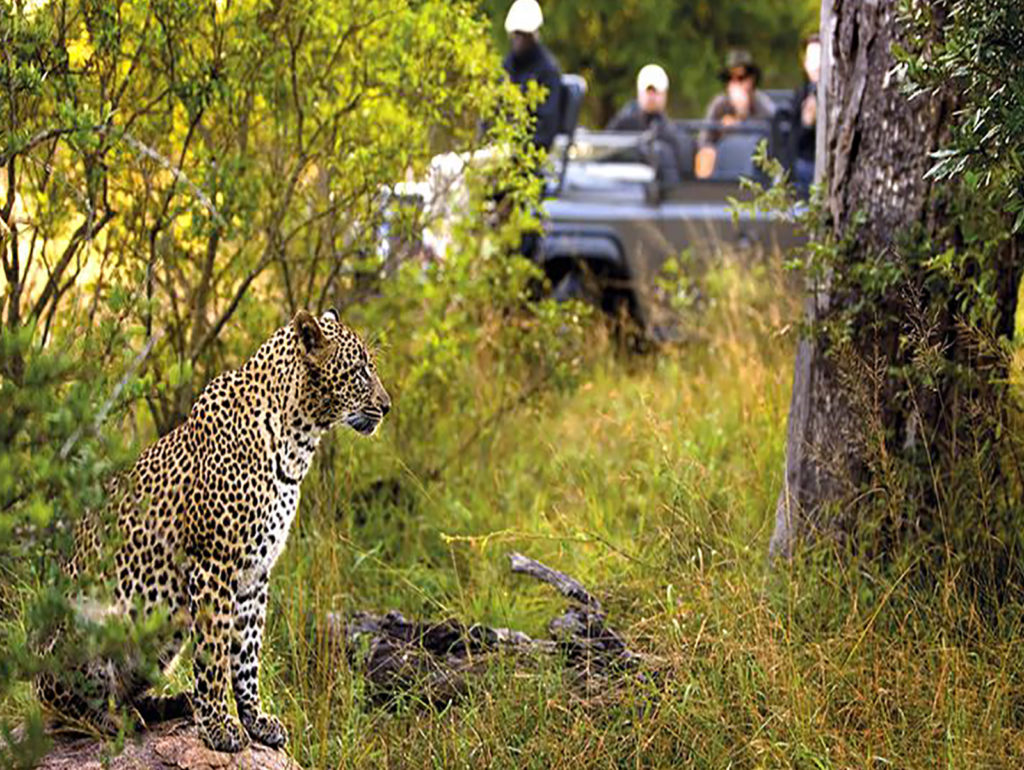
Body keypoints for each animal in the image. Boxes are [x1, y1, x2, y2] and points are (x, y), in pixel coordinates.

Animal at [35, 308, 390, 753]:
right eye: (360, 370)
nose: (387, 406)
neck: (298, 442)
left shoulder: (255, 574)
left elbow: (247, 654)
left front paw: (255, 720)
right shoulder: (214, 565)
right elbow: (215, 653)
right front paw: (220, 726)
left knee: (128, 692)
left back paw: (170, 704)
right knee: (69, 708)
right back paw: (115, 720)